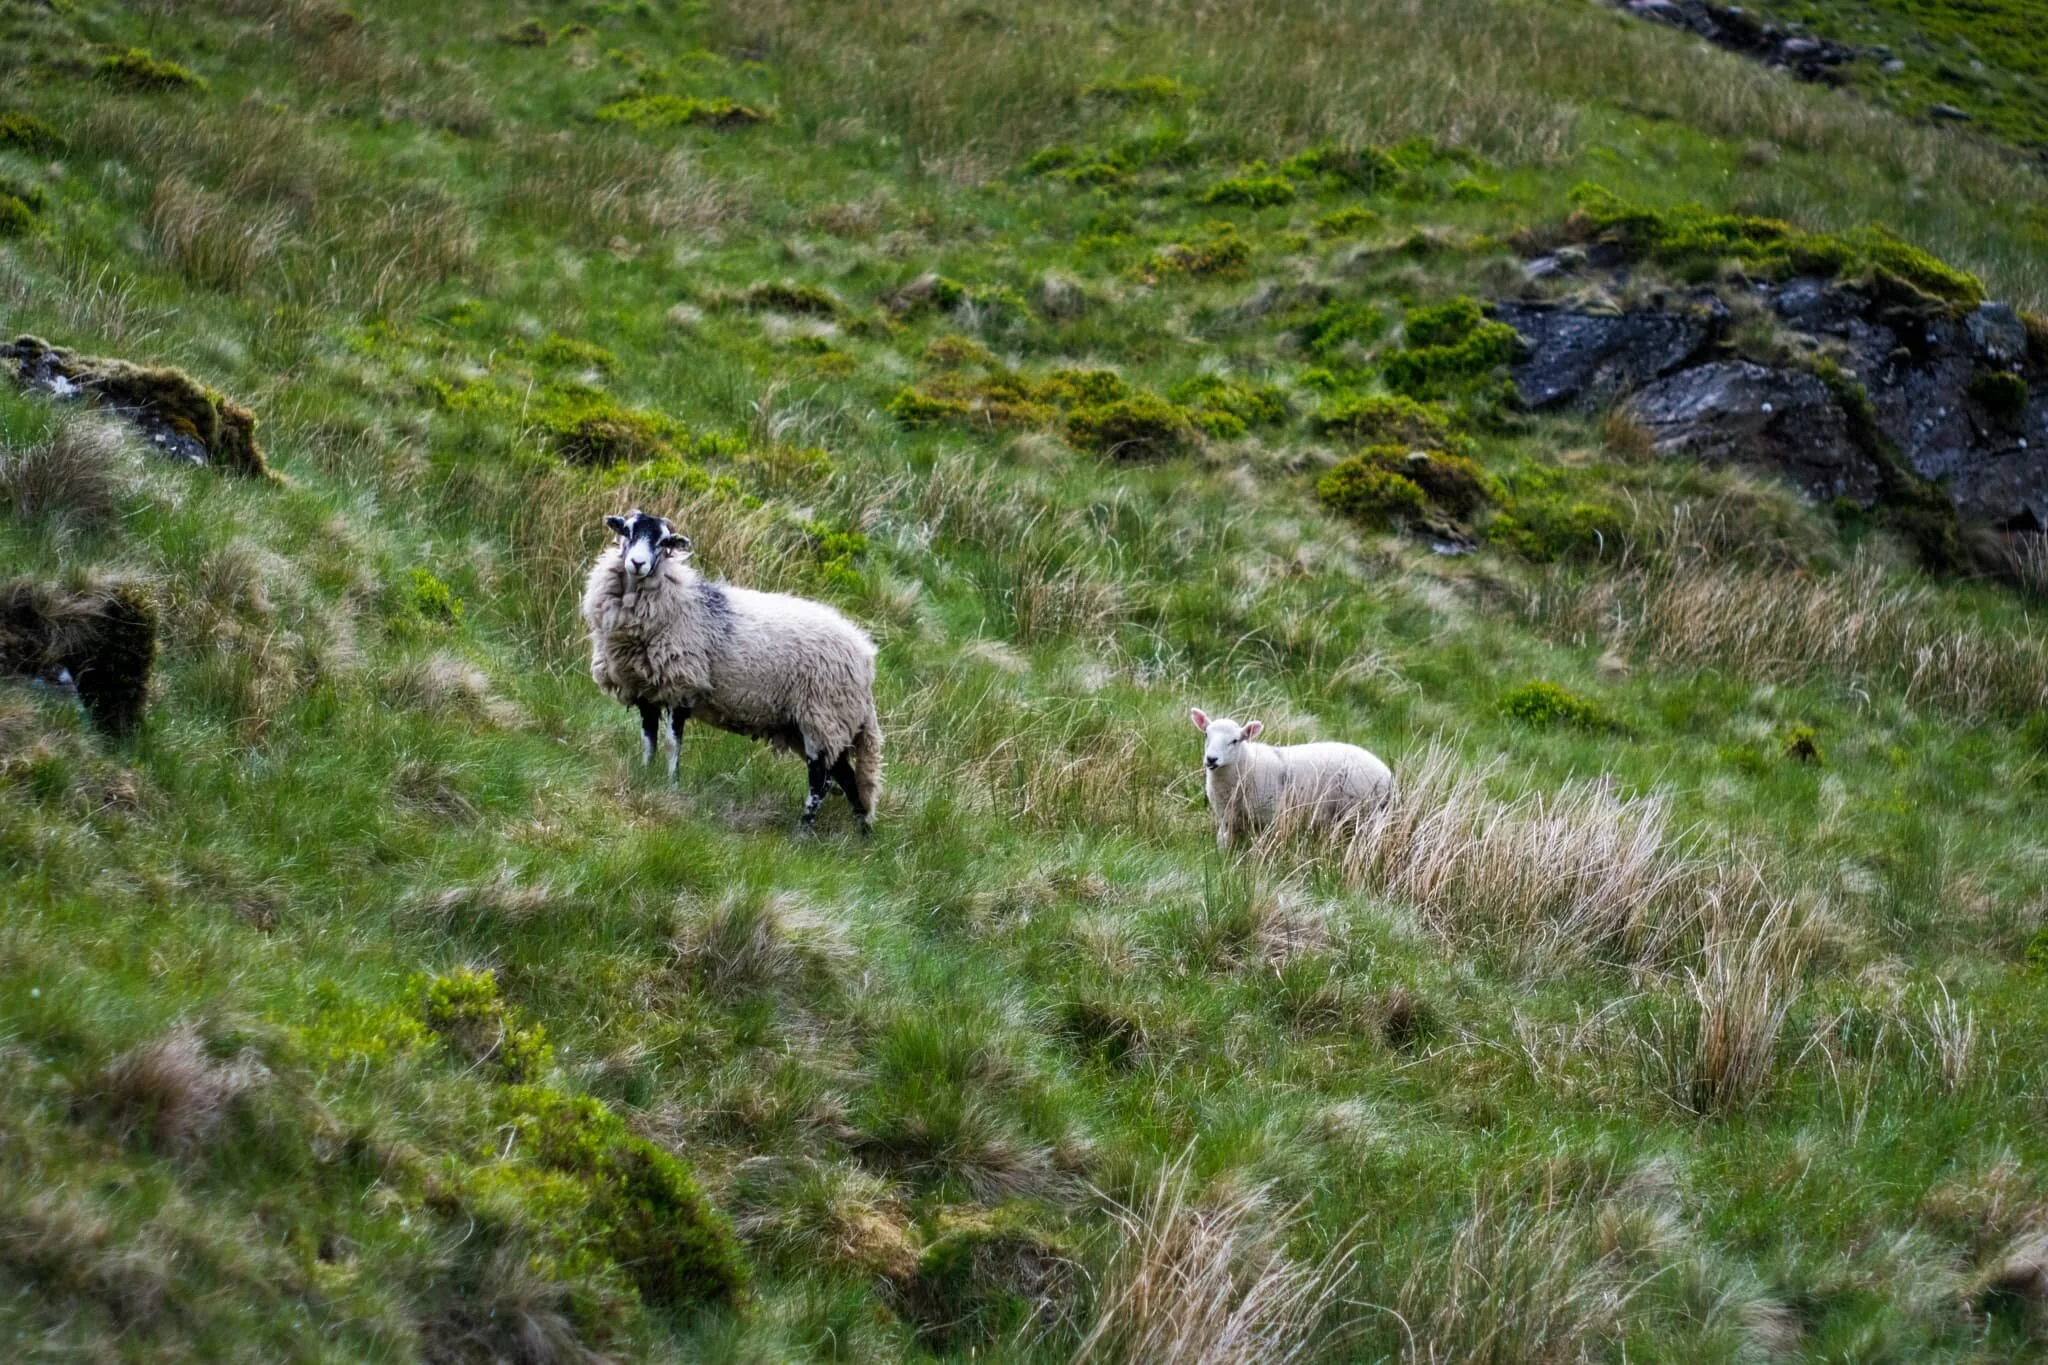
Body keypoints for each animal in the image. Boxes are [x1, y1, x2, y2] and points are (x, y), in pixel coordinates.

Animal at [582, 509, 883, 833]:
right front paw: (645, 776)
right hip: (826, 722)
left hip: (822, 715)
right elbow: (648, 741)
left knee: (821, 780)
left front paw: (672, 786)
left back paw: (803, 830)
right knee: (847, 777)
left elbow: (672, 744)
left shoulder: (682, 685)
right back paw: (862, 832)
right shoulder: (646, 691)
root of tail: (866, 657)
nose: (637, 563)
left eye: (663, 542)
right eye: (627, 531)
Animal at [1189, 708, 1392, 851]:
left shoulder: (1269, 816)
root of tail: (1387, 774)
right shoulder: (1227, 818)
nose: (1211, 759)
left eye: (1235, 741)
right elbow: (1223, 844)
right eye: (1206, 735)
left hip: (1363, 810)